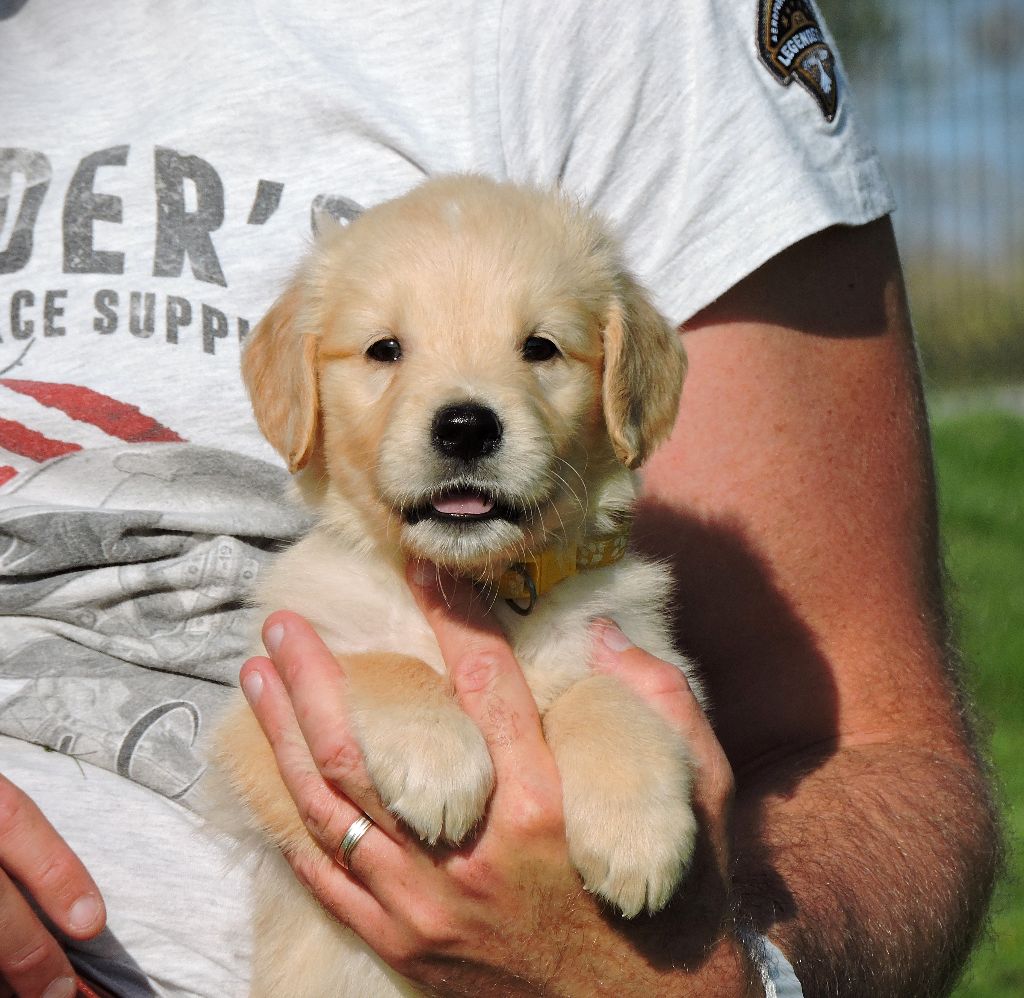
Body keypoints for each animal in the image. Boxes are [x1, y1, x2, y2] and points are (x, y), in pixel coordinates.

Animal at [210, 175, 701, 997]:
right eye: (385, 349)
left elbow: (605, 693)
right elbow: (382, 660)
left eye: (540, 347)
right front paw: (438, 760)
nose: (466, 427)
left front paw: (638, 833)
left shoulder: (646, 651)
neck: (481, 587)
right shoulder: (253, 726)